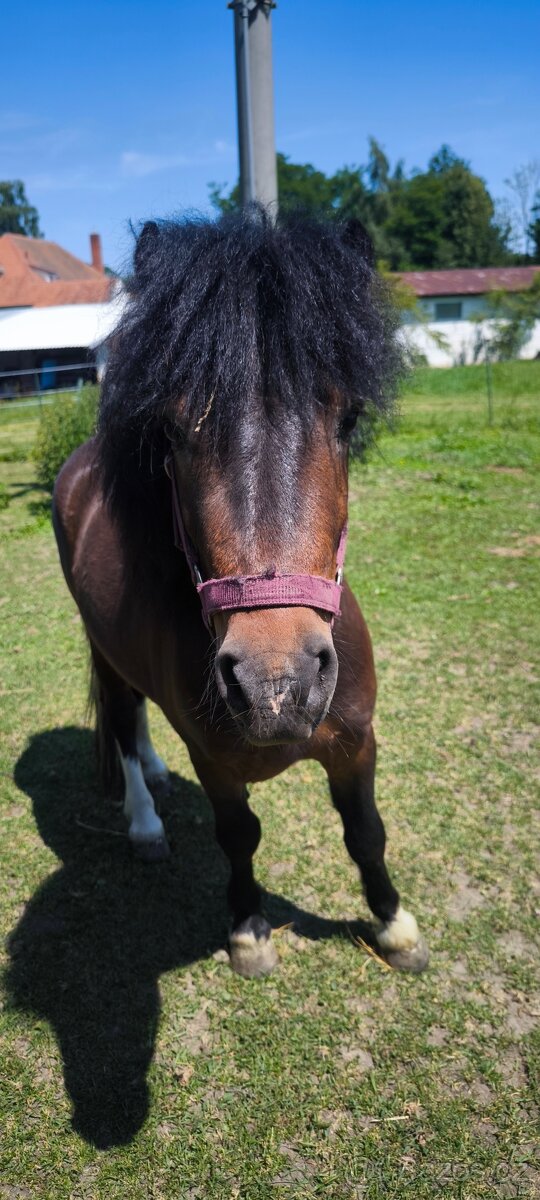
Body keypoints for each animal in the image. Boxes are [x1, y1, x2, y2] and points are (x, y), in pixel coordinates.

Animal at [52, 210, 428, 978]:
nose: (274, 686)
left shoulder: (357, 744)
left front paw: (394, 925)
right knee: (124, 723)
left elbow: (365, 832)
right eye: (169, 429)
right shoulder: (216, 762)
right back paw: (145, 820)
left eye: (350, 419)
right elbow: (239, 835)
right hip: (104, 652)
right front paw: (250, 929)